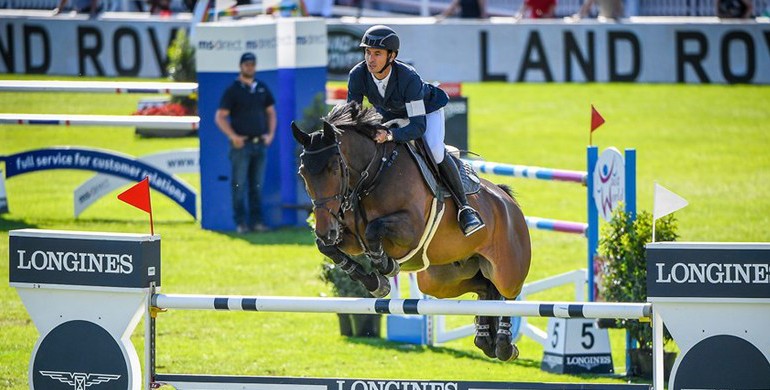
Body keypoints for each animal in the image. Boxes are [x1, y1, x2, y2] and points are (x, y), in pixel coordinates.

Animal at [288, 102, 528, 362]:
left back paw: (504, 346)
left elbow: (373, 230)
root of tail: (508, 201)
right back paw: (485, 340)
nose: (325, 230)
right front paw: (375, 282)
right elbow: (329, 248)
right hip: (442, 279)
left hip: (507, 268)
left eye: (334, 169)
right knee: (485, 289)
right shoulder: (350, 237)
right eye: (302, 173)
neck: (373, 175)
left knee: (508, 294)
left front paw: (385, 265)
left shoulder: (410, 230)